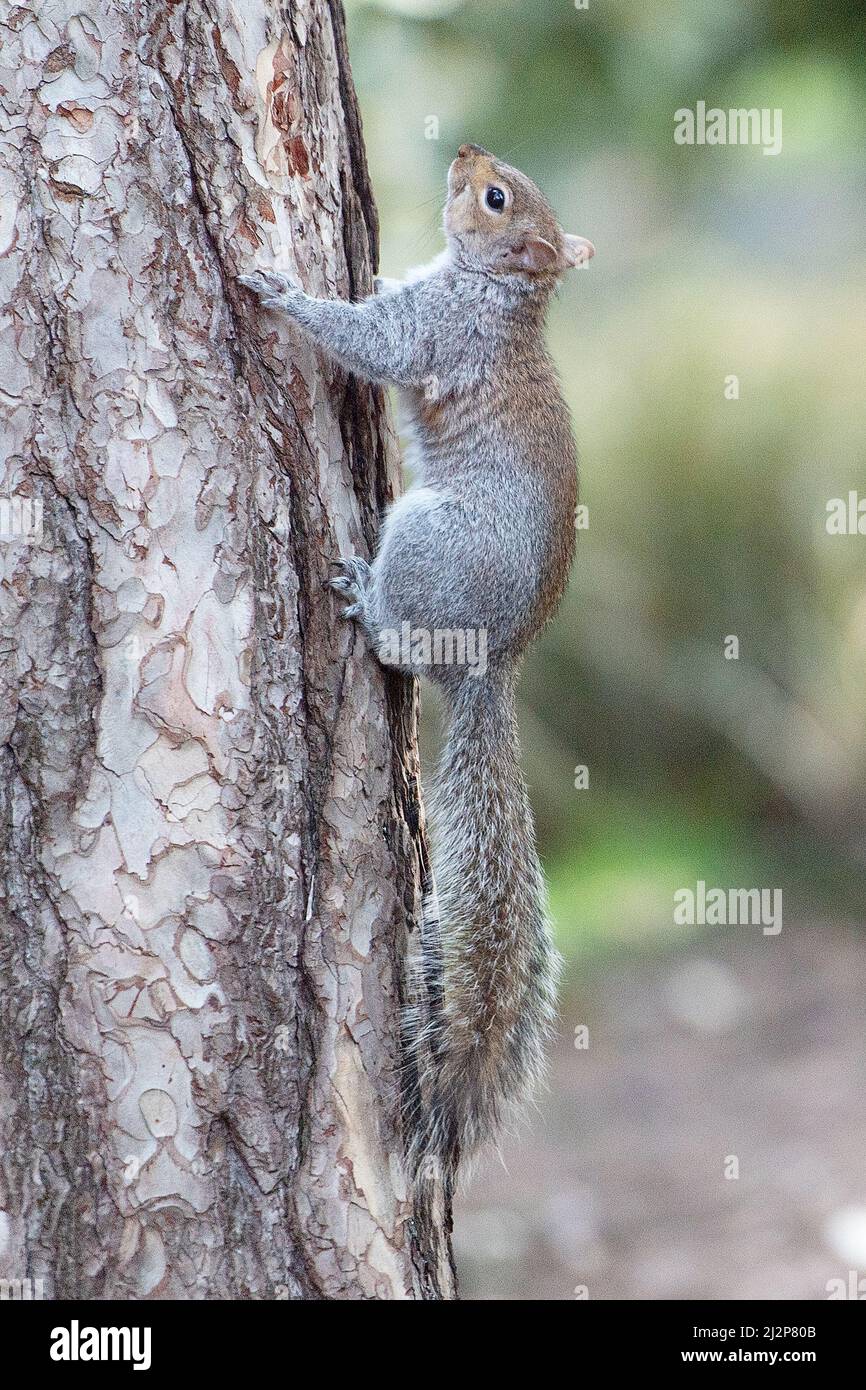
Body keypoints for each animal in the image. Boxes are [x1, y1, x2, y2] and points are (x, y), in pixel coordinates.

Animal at [241, 144, 594, 1186]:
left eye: (495, 198)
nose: (468, 153)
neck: (497, 291)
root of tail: (490, 665)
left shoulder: (433, 329)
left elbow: (378, 342)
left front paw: (281, 292)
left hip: (426, 540)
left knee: (400, 638)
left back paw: (366, 599)